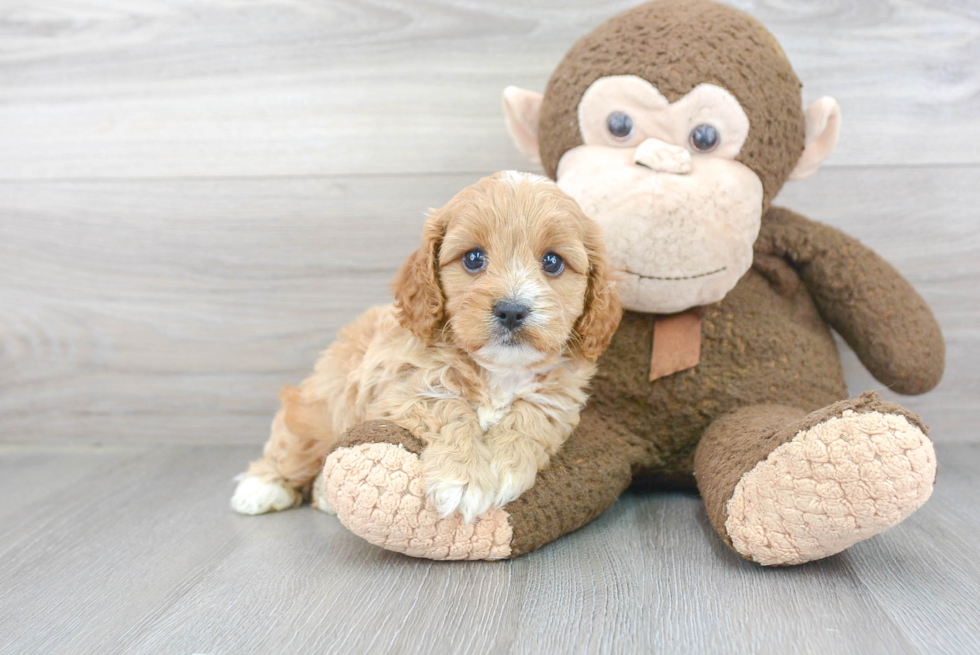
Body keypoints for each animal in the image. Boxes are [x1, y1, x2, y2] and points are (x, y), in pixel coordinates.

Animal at [230, 170, 620, 524]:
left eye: (552, 262)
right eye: (474, 258)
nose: (511, 310)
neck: (498, 370)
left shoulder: (560, 397)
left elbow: (532, 413)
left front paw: (506, 464)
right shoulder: (400, 384)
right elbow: (447, 408)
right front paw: (462, 479)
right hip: (321, 407)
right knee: (293, 446)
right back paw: (261, 488)